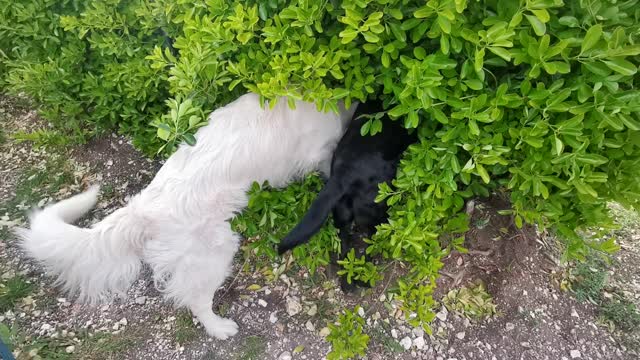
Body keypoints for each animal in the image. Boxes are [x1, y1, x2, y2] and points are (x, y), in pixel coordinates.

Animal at [278, 100, 418, 292]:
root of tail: (344, 174)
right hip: (375, 215)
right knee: (369, 246)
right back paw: (364, 278)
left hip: (342, 218)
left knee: (345, 250)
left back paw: (348, 283)